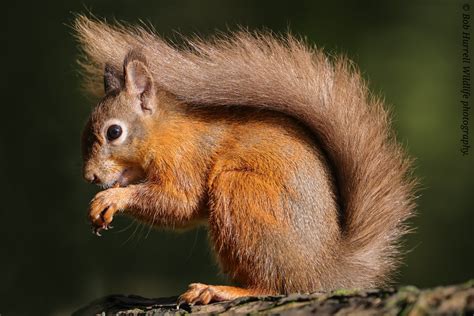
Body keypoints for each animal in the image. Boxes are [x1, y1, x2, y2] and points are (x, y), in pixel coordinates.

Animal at [73, 15, 414, 306]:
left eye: (114, 132)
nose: (90, 177)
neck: (165, 133)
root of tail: (323, 270)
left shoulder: (185, 159)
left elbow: (180, 203)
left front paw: (111, 199)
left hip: (240, 192)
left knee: (272, 285)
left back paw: (221, 291)